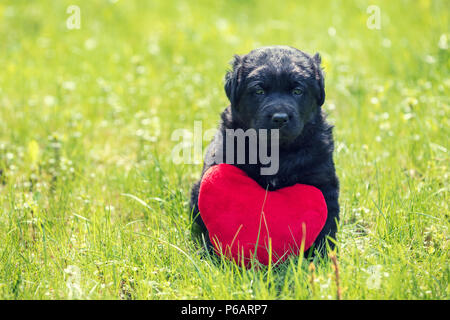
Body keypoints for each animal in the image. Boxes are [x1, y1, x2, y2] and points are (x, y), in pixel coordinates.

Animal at [188, 45, 340, 258]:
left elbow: (327, 223)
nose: (280, 118)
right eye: (259, 91)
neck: (275, 151)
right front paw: (212, 252)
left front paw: (322, 254)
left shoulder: (321, 180)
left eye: (297, 91)